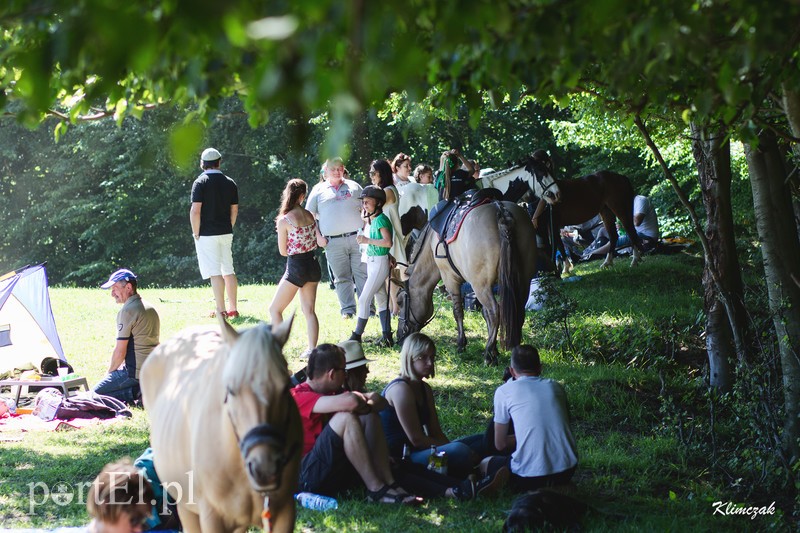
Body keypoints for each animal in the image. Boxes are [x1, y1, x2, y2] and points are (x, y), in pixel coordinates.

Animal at [139, 316, 302, 532]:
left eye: (286, 387)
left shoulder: (285, 512)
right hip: (186, 506)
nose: (264, 469)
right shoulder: (212, 516)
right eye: (231, 390)